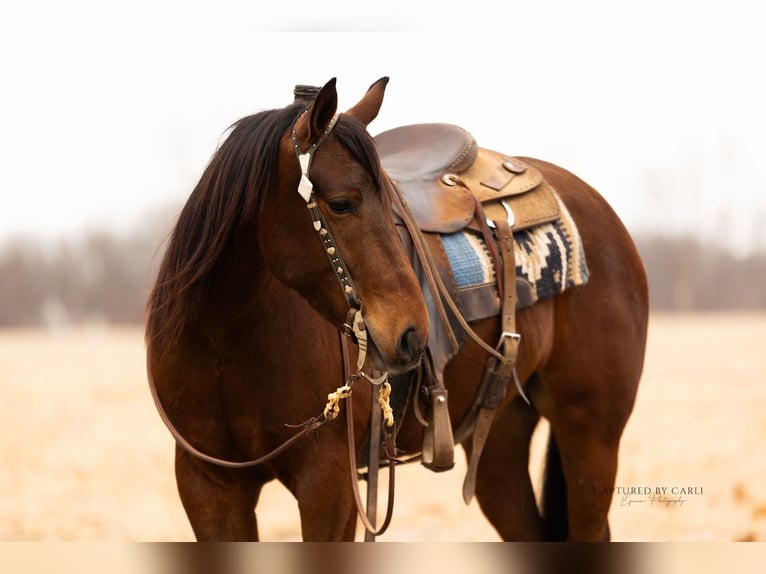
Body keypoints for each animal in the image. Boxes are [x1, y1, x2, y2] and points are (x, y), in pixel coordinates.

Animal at [145, 77, 649, 541]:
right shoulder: (207, 486)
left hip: (591, 436)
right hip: (501, 440)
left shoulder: (329, 485)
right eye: (341, 204)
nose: (411, 334)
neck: (226, 344)